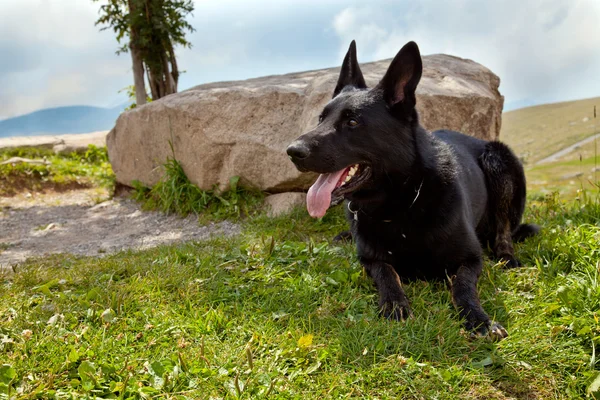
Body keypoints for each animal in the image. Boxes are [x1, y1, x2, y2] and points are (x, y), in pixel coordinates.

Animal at [286, 40, 540, 340]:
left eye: (352, 122)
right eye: (320, 119)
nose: (292, 151)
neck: (399, 205)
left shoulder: (471, 259)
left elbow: (463, 287)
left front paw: (478, 318)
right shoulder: (370, 259)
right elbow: (387, 274)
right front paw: (394, 303)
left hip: (498, 160)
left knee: (504, 230)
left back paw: (507, 256)